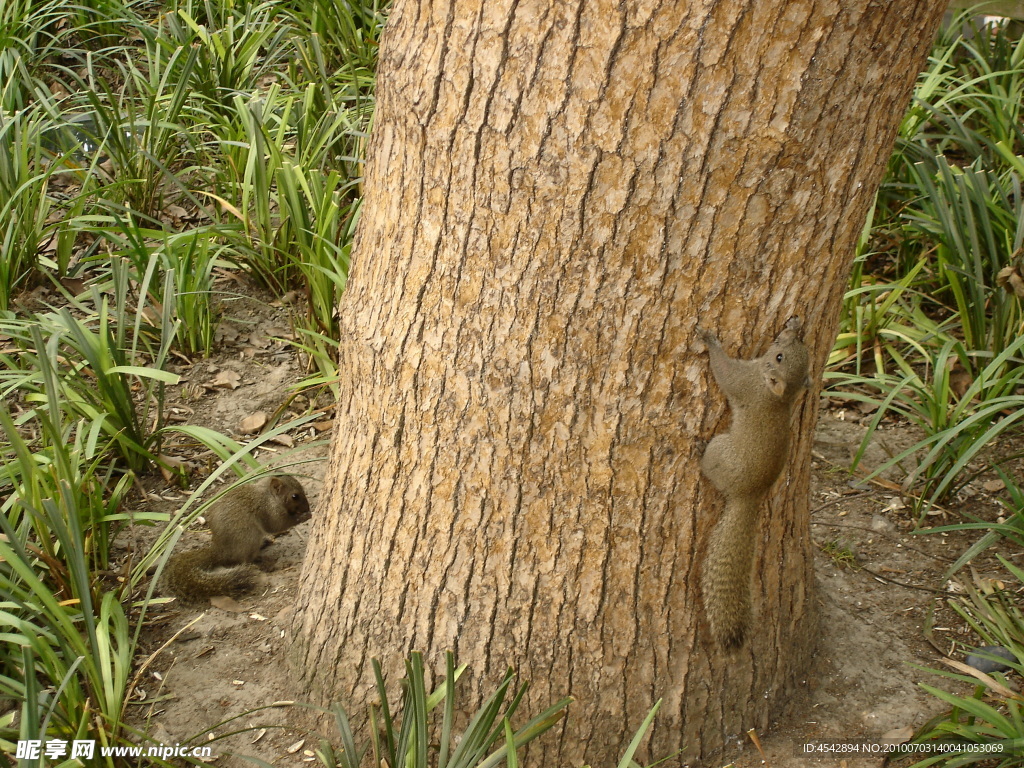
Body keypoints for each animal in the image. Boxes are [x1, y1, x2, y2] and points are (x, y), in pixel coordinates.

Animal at [163, 479, 311, 606]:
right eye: (294, 496)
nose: (307, 508)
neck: (267, 494)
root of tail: (220, 552)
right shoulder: (269, 510)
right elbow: (277, 525)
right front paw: (305, 516)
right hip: (249, 537)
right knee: (246, 560)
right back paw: (267, 563)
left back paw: (265, 543)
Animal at [700, 315, 811, 651]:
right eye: (786, 352)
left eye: (779, 358)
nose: (787, 336)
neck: (779, 396)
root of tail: (750, 494)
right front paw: (794, 324)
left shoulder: (743, 381)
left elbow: (724, 372)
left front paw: (710, 341)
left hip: (720, 451)